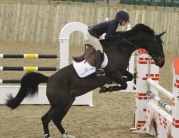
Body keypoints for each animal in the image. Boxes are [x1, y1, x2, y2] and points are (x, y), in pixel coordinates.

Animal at [5, 23, 166, 138]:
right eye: (158, 44)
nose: (162, 62)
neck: (121, 47)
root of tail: (49, 79)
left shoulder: (120, 72)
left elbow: (129, 78)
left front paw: (109, 87)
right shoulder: (113, 72)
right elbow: (124, 83)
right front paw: (107, 88)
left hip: (68, 102)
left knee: (56, 119)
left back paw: (67, 135)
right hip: (60, 103)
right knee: (46, 118)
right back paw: (48, 135)